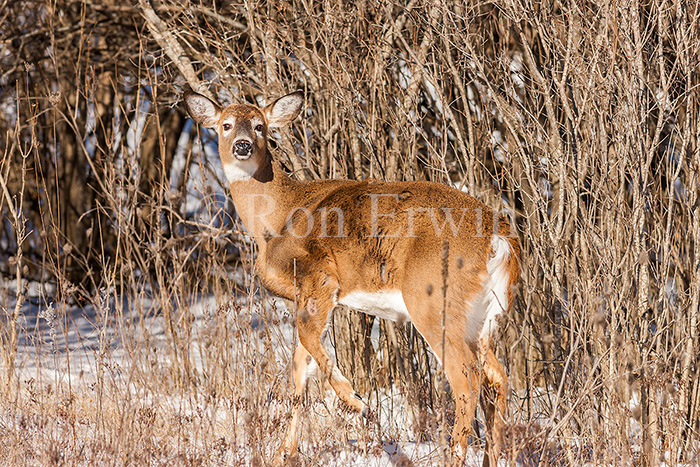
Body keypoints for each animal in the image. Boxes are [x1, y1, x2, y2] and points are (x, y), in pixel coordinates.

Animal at [183, 89, 524, 466]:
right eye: (226, 124)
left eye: (259, 125)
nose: (242, 145)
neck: (275, 219)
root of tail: (499, 236)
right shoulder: (306, 296)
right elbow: (299, 368)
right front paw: (284, 452)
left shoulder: (319, 278)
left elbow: (308, 344)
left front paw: (356, 402)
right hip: (483, 314)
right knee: (498, 377)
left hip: (433, 298)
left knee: (467, 380)